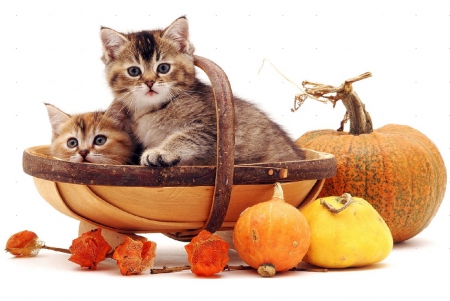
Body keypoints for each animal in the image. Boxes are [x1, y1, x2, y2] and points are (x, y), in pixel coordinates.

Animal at [101, 16, 306, 166]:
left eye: (163, 68)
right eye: (134, 71)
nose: (150, 82)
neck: (153, 110)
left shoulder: (210, 126)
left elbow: (186, 136)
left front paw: (161, 152)